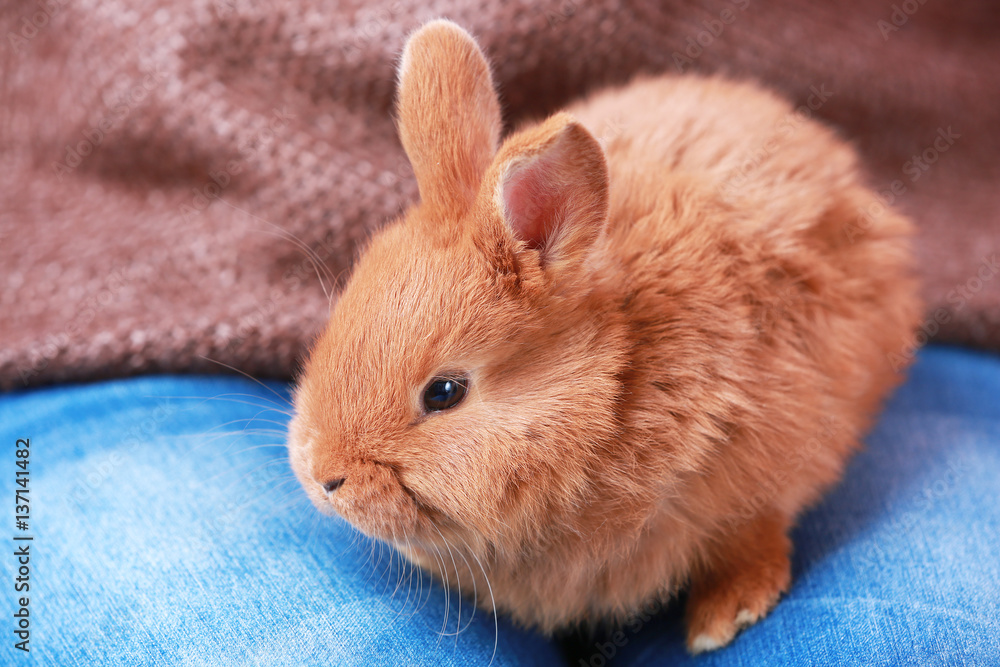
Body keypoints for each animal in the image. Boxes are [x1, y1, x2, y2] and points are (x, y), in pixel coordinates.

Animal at [287, 19, 921, 653]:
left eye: (444, 392)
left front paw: (728, 617)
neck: (616, 388)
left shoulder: (767, 471)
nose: (324, 477)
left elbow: (752, 537)